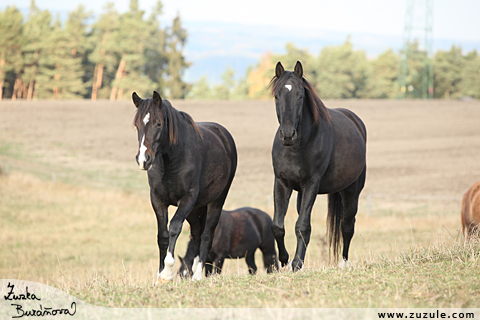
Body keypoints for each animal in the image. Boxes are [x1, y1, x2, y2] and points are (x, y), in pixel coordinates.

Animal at [132, 91, 237, 282]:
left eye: (158, 123)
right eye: (137, 125)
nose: (143, 159)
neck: (171, 161)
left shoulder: (187, 198)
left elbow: (174, 228)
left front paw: (167, 273)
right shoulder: (157, 200)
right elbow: (162, 234)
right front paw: (159, 275)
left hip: (216, 202)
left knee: (206, 235)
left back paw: (198, 275)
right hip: (195, 209)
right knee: (196, 233)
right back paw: (193, 270)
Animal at [268, 62, 366, 270]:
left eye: (300, 95)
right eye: (276, 95)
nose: (288, 135)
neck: (296, 147)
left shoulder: (311, 184)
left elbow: (302, 225)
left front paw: (297, 263)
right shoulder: (281, 183)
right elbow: (278, 226)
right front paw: (285, 260)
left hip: (351, 191)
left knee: (347, 226)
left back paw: (343, 262)